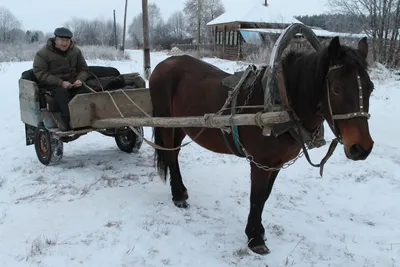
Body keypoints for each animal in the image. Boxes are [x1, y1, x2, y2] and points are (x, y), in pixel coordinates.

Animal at [148, 37, 376, 255]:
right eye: (336, 88)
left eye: (370, 87)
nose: (361, 148)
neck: (282, 103)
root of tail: (162, 65)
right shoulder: (260, 162)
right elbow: (256, 198)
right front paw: (255, 238)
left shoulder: (276, 163)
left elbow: (265, 197)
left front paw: (259, 231)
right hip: (165, 122)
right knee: (170, 156)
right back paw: (178, 196)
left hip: (181, 125)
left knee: (174, 153)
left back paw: (181, 191)